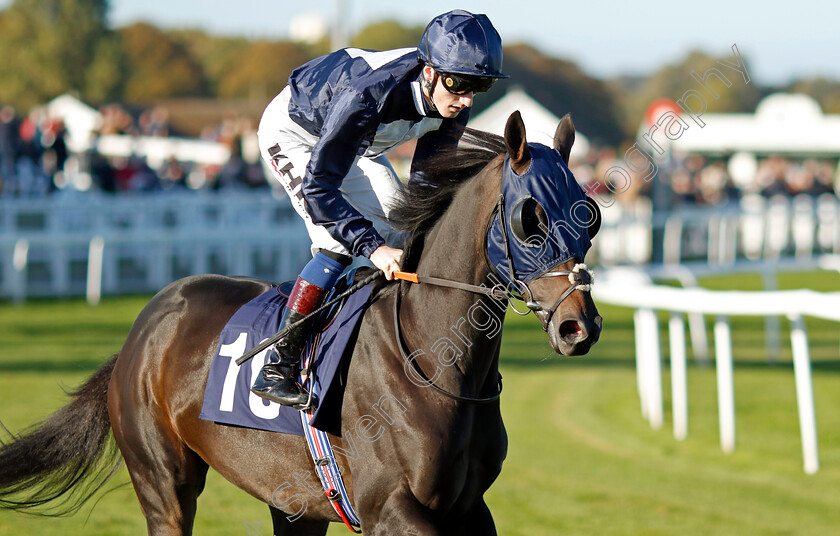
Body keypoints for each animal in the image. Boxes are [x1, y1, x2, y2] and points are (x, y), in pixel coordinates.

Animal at [0, 111, 604, 532]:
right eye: (530, 219)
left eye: (591, 214)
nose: (581, 327)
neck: (431, 361)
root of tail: (140, 331)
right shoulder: (389, 506)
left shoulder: (468, 508)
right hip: (163, 483)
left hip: (293, 502)